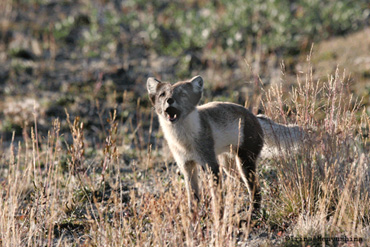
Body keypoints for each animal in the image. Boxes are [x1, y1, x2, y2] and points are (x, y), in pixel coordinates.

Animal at [146, 75, 304, 210]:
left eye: (183, 94)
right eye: (162, 95)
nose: (170, 100)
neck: (183, 141)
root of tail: (256, 117)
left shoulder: (210, 164)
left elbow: (217, 199)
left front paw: (218, 218)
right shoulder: (186, 166)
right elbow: (193, 200)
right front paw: (193, 221)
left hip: (245, 162)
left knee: (256, 190)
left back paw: (252, 214)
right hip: (230, 167)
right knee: (248, 184)